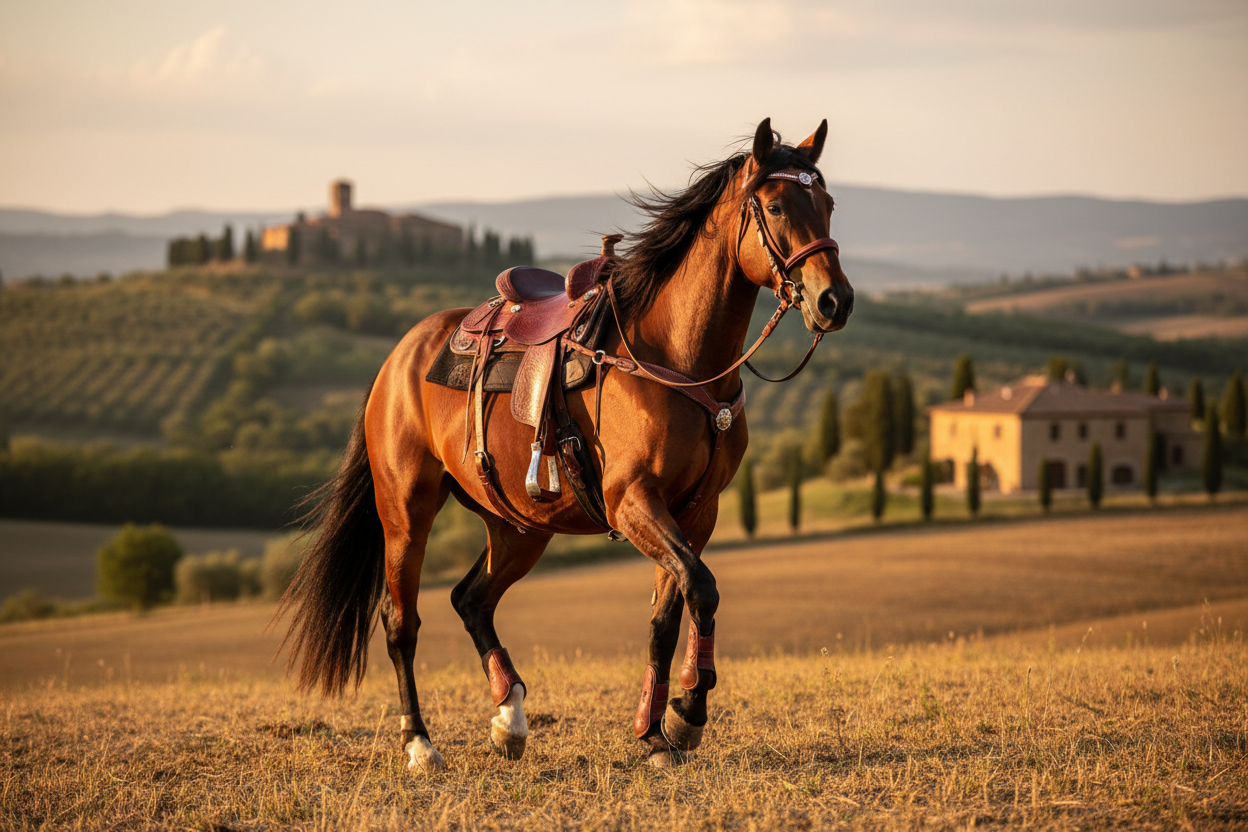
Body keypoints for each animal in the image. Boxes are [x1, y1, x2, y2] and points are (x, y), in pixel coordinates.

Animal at [278, 118, 853, 770]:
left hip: (519, 525)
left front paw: (654, 733)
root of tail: (398, 357)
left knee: (471, 600)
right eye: (777, 206)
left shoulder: (695, 512)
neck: (676, 358)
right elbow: (702, 588)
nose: (835, 300)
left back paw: (509, 716)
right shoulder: (633, 502)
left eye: (828, 205)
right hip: (406, 510)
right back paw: (421, 744)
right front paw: (686, 714)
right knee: (402, 621)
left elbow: (668, 612)